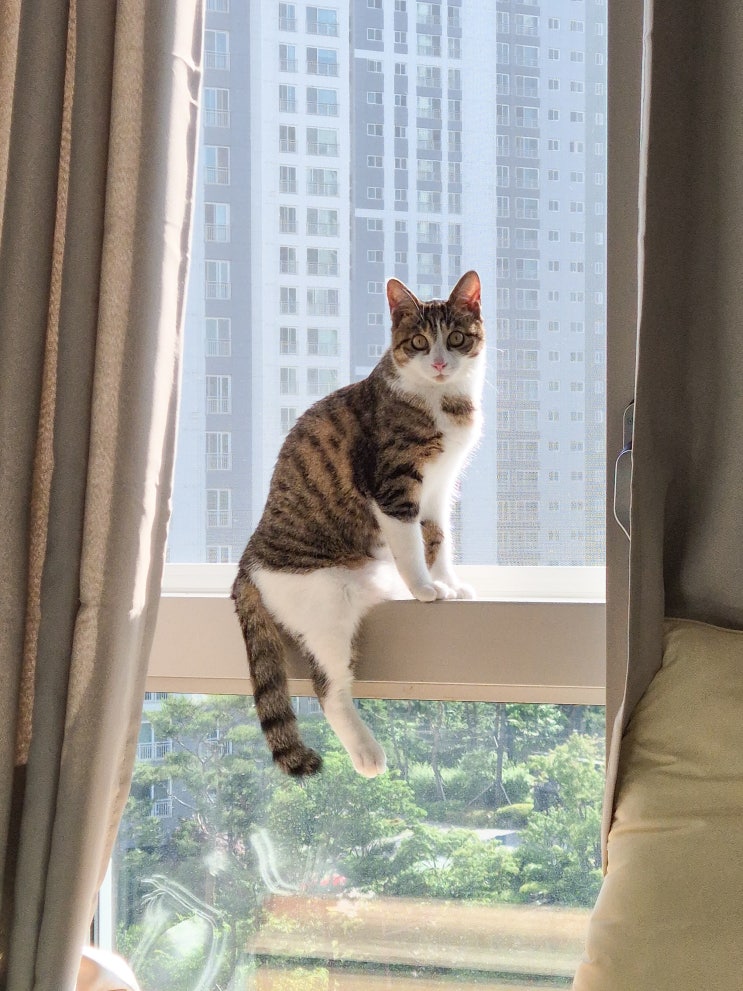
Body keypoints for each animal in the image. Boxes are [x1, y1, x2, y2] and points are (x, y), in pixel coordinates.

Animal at [232, 270, 485, 778]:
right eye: (419, 341)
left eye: (456, 337)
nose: (440, 363)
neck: (442, 400)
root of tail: (247, 563)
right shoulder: (394, 485)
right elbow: (411, 544)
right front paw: (425, 588)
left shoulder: (440, 489)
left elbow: (440, 539)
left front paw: (449, 583)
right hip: (326, 607)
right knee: (327, 688)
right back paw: (367, 754)